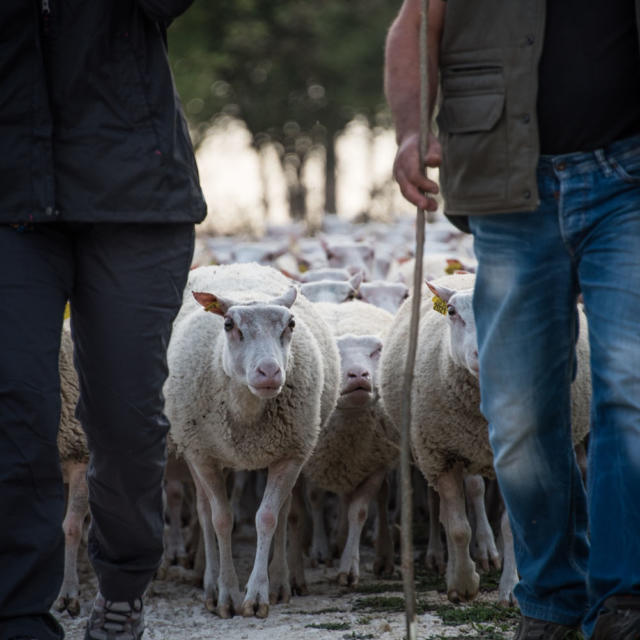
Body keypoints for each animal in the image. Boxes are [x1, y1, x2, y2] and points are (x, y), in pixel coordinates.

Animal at [164, 262, 340, 616]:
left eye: (291, 324)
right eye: (229, 325)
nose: (269, 372)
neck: (246, 413)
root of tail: (238, 265)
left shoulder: (291, 455)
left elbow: (268, 518)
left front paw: (258, 594)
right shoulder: (203, 456)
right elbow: (220, 519)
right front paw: (226, 594)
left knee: (284, 512)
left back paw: (281, 581)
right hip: (197, 449)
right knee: (203, 512)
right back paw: (209, 580)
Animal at [292, 300, 400, 592]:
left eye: (376, 351)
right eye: (335, 352)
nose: (359, 375)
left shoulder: (374, 464)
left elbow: (359, 511)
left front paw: (349, 568)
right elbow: (306, 504)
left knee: (377, 498)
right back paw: (324, 546)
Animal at [380, 276, 592, 604]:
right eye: (452, 311)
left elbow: (511, 528)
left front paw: (511, 590)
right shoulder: (441, 454)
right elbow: (457, 527)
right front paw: (463, 583)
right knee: (449, 512)